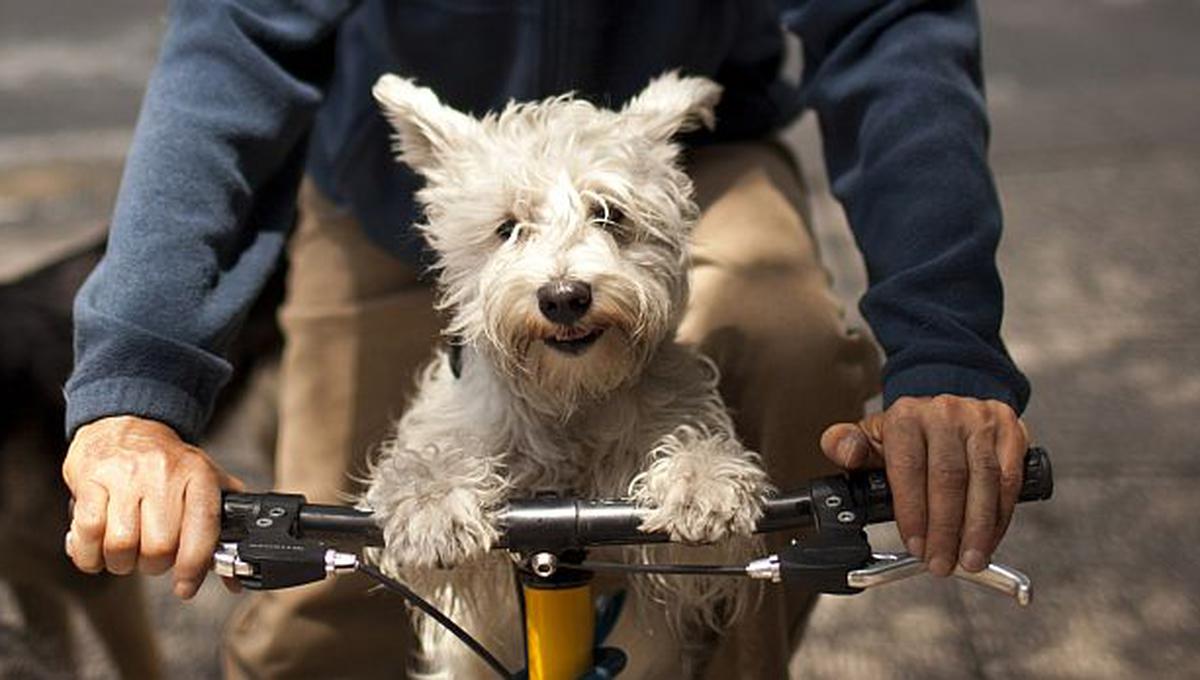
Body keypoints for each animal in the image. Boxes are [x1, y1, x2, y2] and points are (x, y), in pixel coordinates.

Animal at [360, 69, 768, 676]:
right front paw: (432, 506)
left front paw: (702, 482)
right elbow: (429, 470)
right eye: (507, 227)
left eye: (609, 214)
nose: (564, 297)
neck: (568, 397)